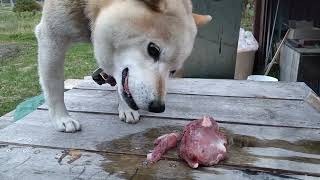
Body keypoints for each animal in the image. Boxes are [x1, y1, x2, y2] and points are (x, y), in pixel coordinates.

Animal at [35, 0, 211, 132]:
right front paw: (62, 119)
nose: (158, 107)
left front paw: (127, 109)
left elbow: (120, 83)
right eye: (153, 50)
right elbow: (54, 86)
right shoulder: (52, 37)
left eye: (172, 70)